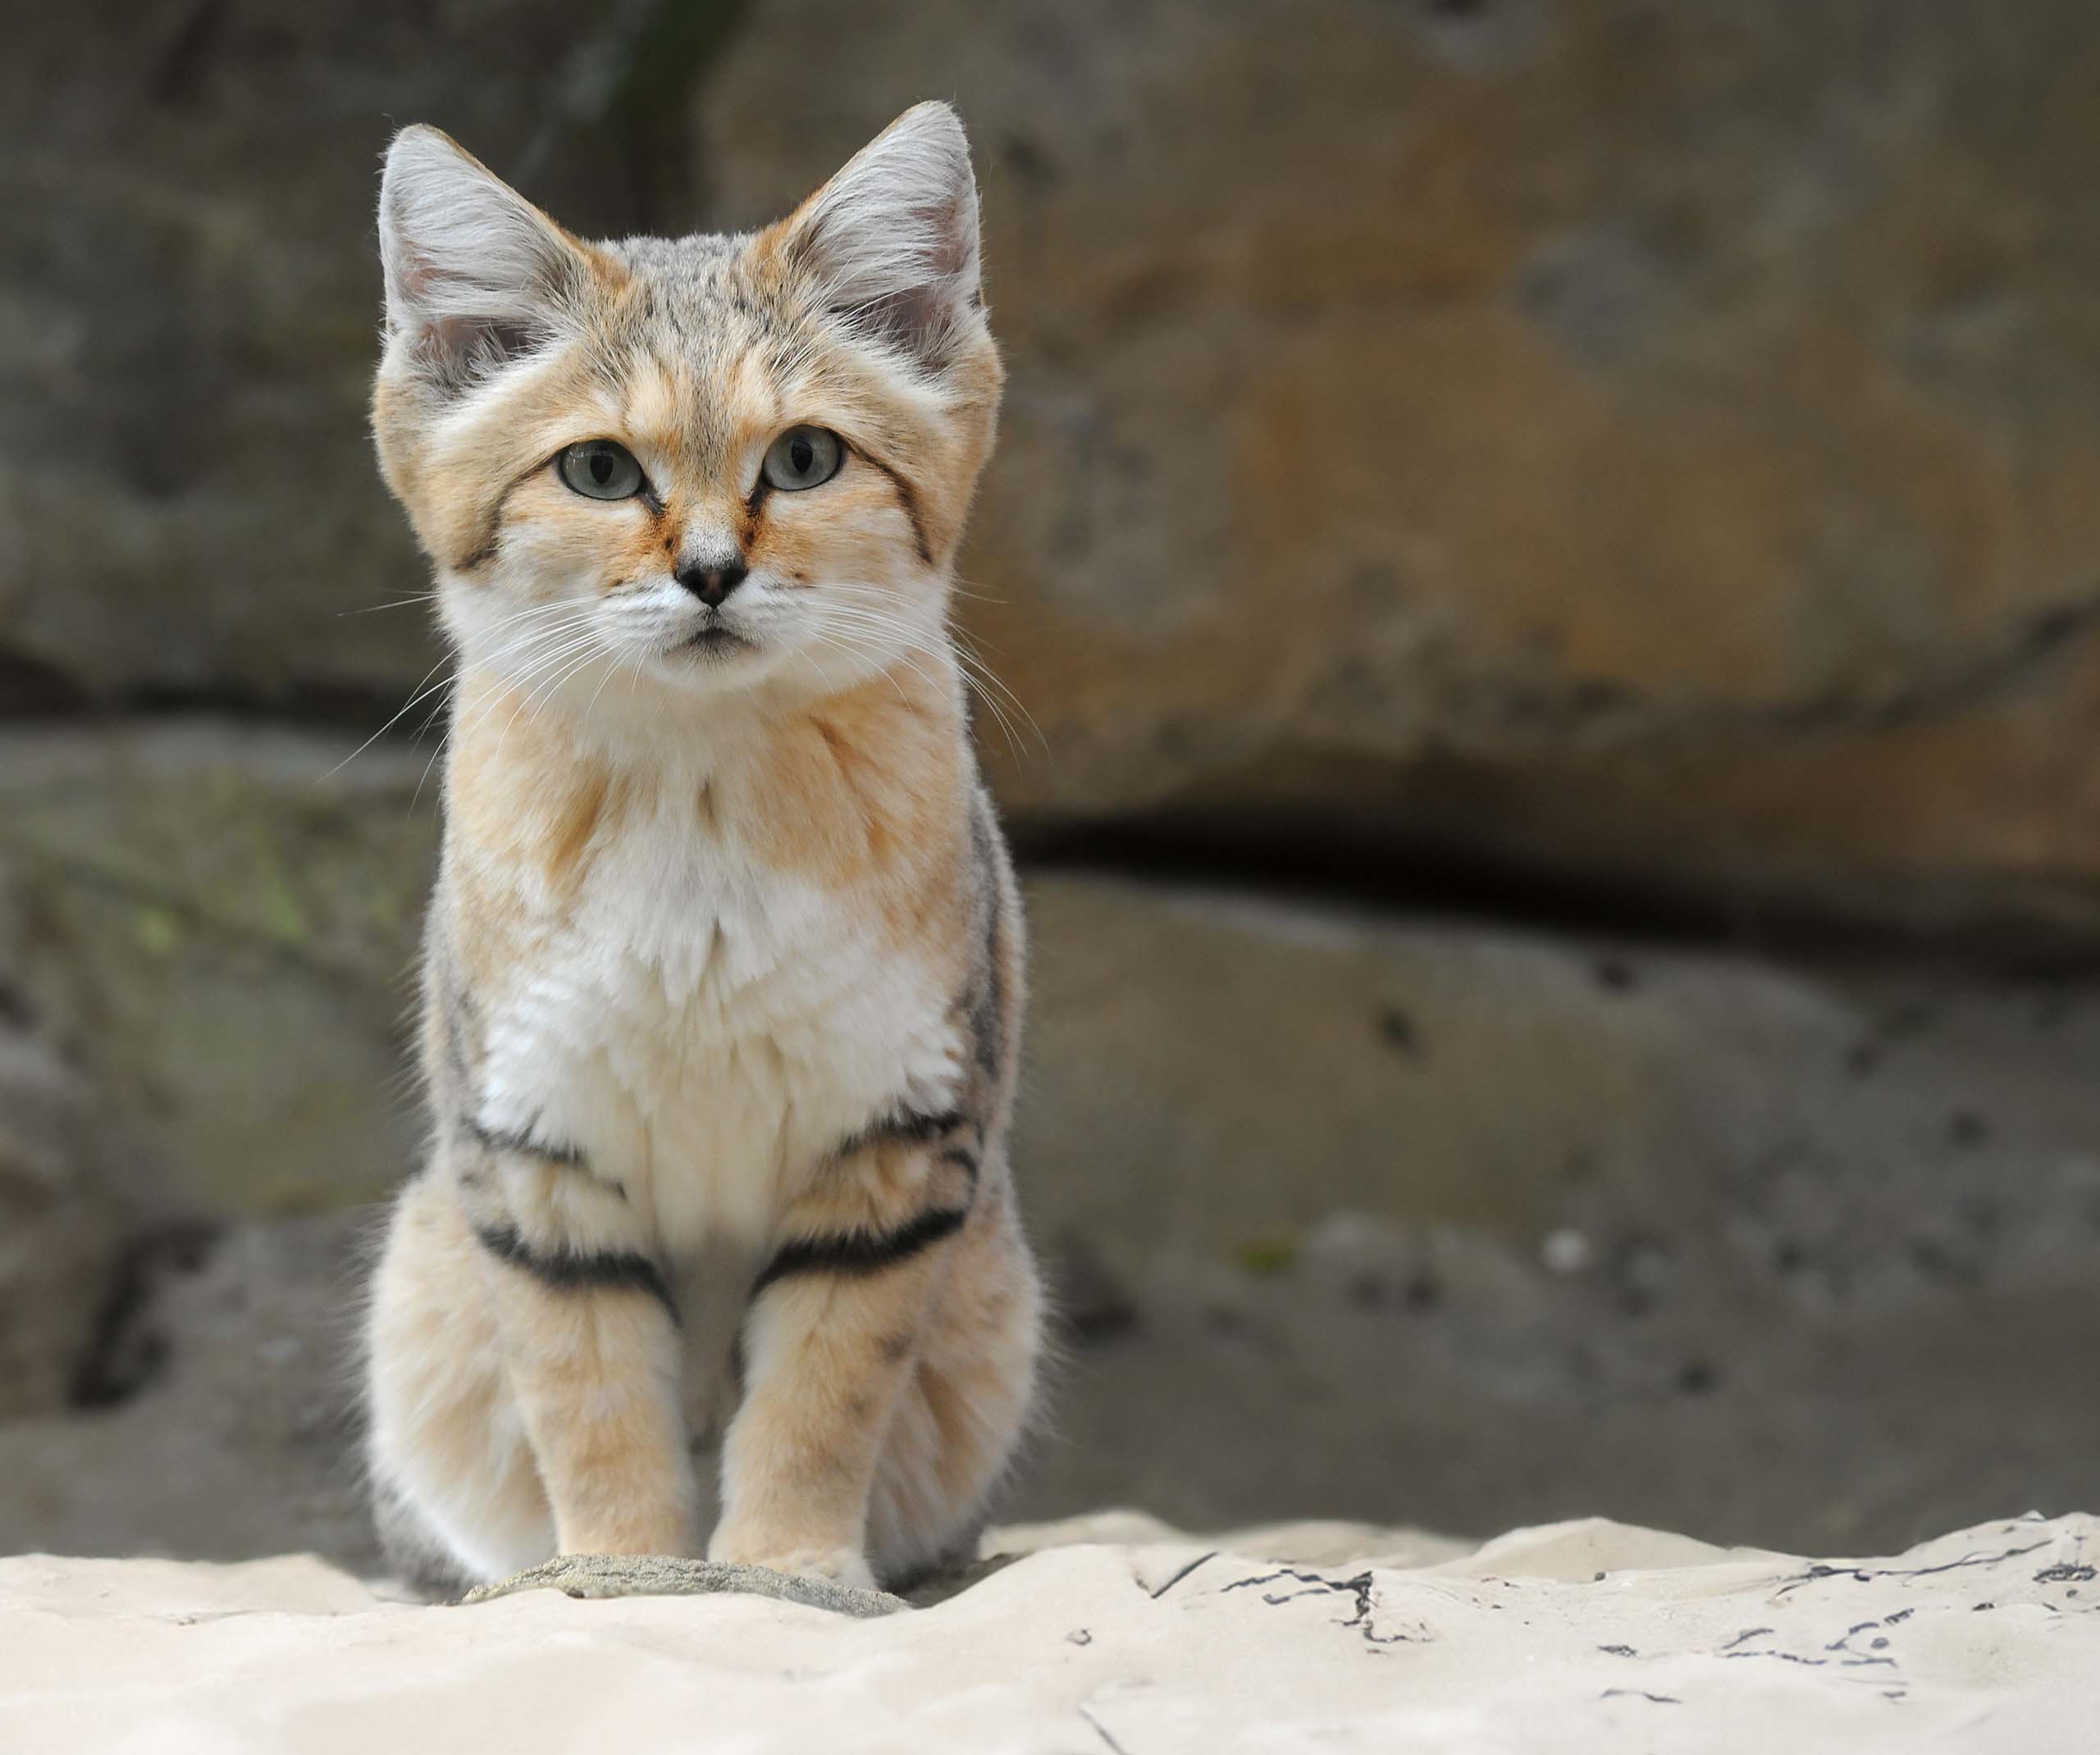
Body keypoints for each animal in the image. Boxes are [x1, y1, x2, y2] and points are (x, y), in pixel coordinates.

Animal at [369, 103, 1050, 1595]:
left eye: (803, 460)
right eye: (599, 470)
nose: (712, 574)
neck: (701, 810)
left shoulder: (896, 1146)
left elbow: (817, 1397)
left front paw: (790, 1572)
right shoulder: (537, 1159)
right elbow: (593, 1405)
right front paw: (621, 1576)